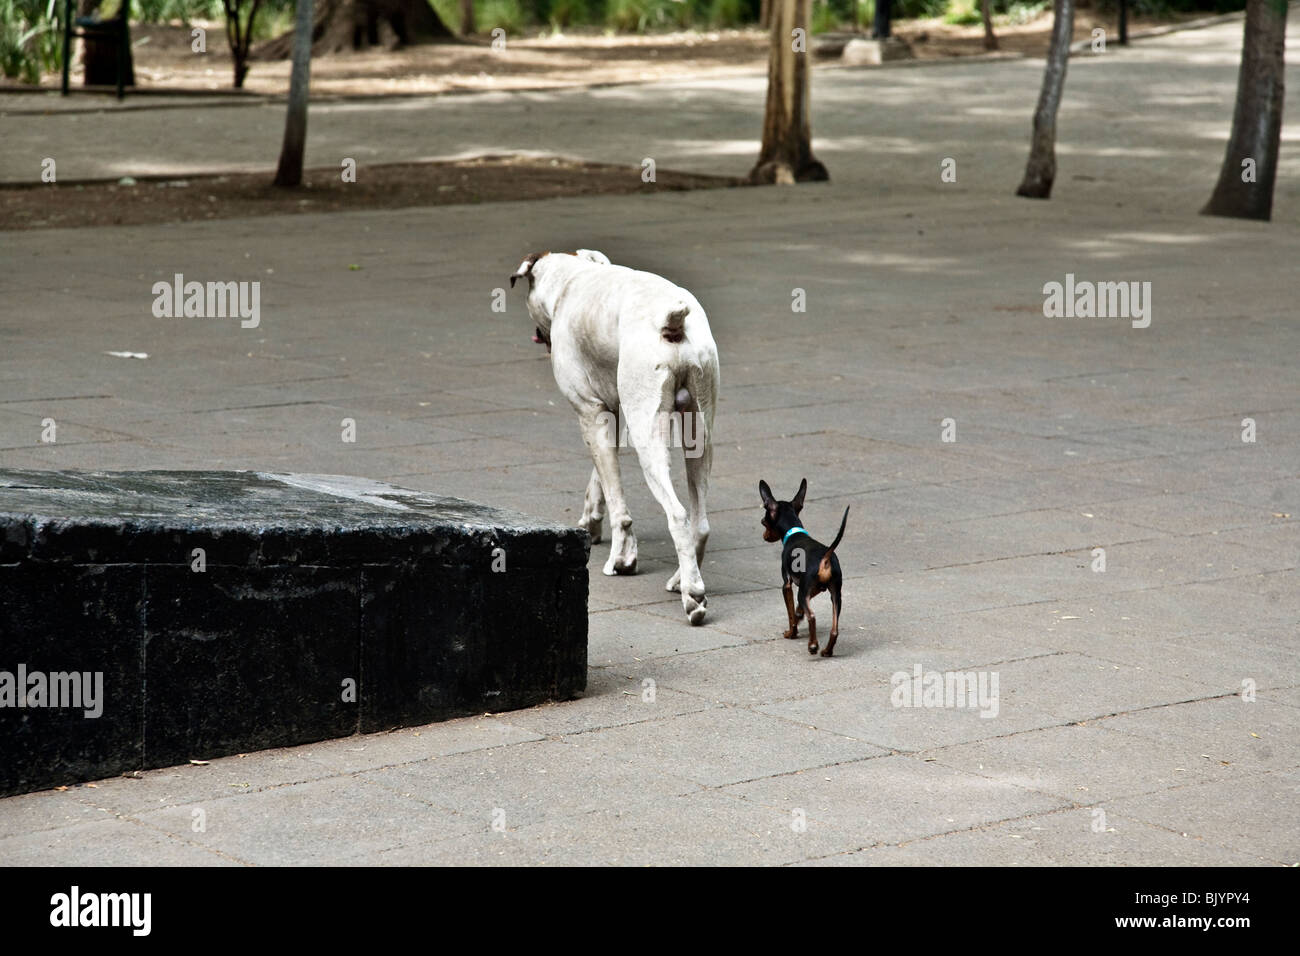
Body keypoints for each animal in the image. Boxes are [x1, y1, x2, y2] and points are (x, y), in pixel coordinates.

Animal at [512, 251, 722, 624]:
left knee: (678, 515)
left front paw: (622, 558)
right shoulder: (608, 413)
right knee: (700, 522)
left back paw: (692, 595)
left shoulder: (588, 411)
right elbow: (602, 479)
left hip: (649, 437)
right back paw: (683, 578)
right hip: (700, 433)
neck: (571, 281)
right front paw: (591, 522)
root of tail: (673, 321)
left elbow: (618, 503)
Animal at [759, 478, 847, 658]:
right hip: (835, 595)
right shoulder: (815, 588)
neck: (794, 533)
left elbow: (790, 614)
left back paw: (812, 645)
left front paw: (791, 633)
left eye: (764, 522)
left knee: (812, 616)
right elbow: (798, 609)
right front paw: (799, 614)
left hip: (805, 592)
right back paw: (827, 651)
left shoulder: (787, 585)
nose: (765, 537)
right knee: (834, 629)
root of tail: (825, 557)